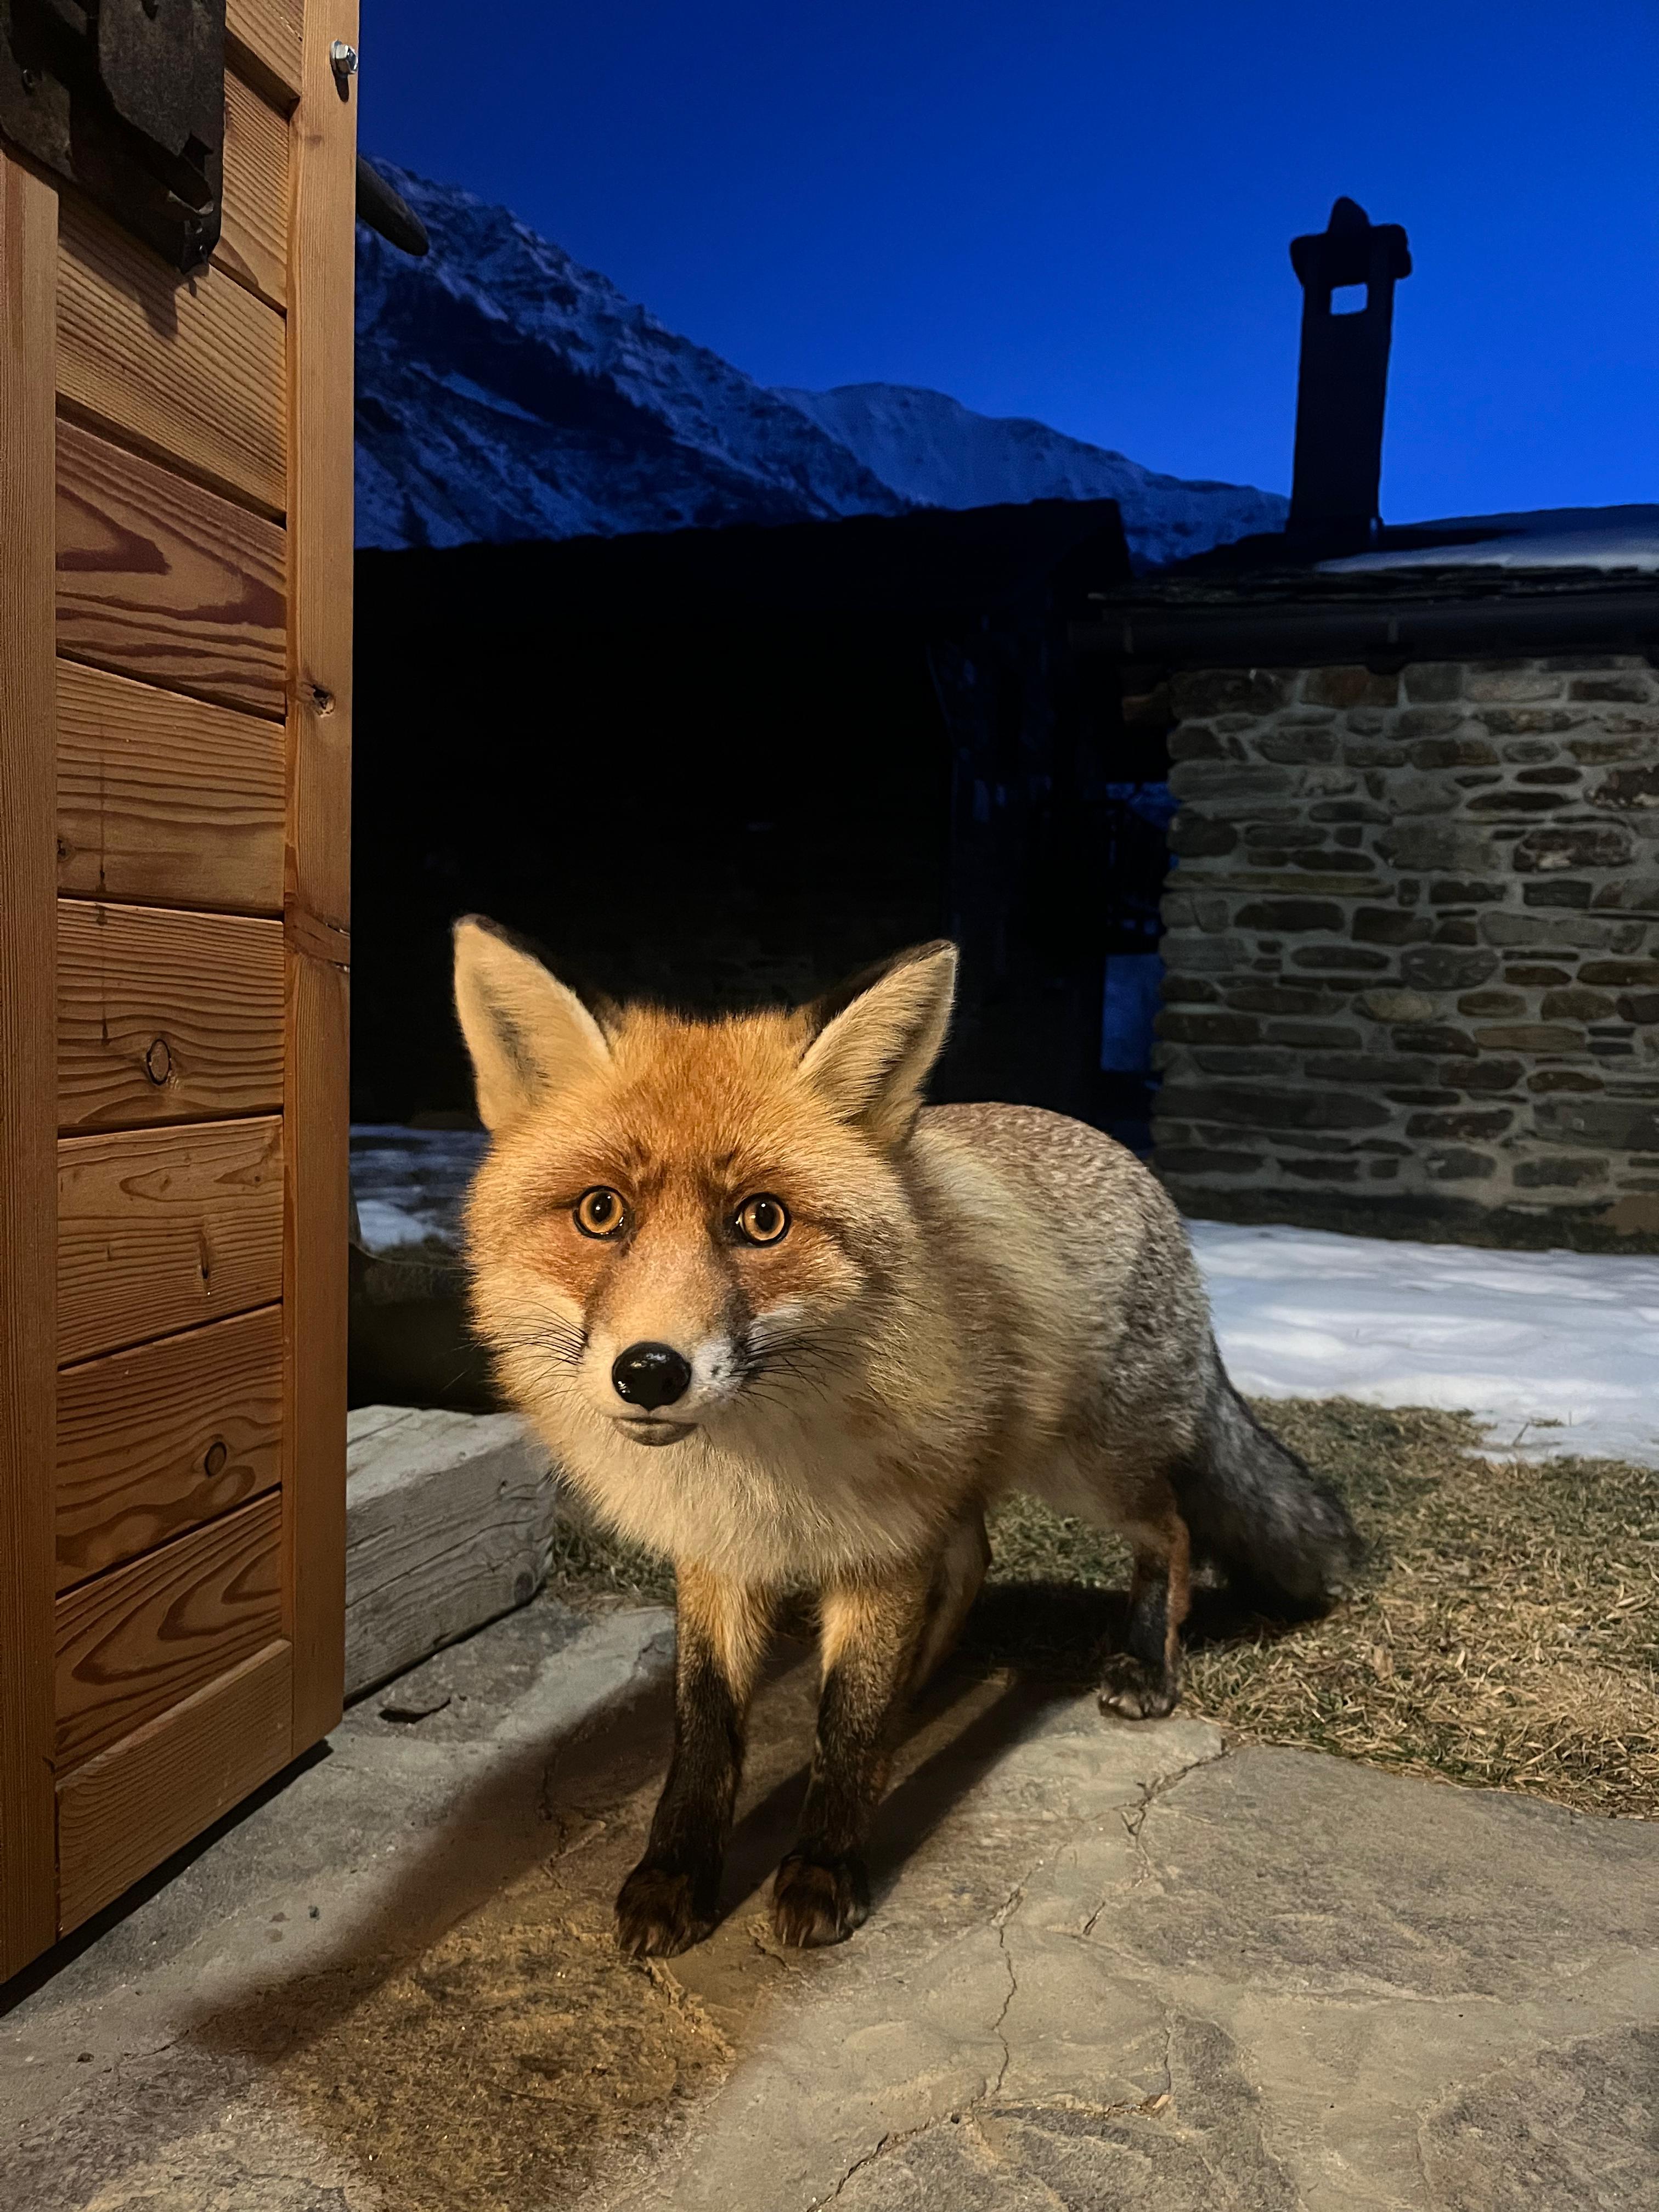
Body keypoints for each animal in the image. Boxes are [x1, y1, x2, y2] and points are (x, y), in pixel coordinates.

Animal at [452, 919, 1360, 1958]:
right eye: (600, 1211)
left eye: (761, 1220)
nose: (649, 1371)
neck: (759, 1462)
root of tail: (1127, 1162)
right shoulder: (722, 1551)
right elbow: (705, 1732)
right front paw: (673, 1875)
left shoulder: (879, 1546)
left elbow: (845, 1726)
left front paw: (824, 1867)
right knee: (973, 1561)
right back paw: (918, 1692)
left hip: (1084, 1468)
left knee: (1167, 1532)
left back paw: (1142, 1662)